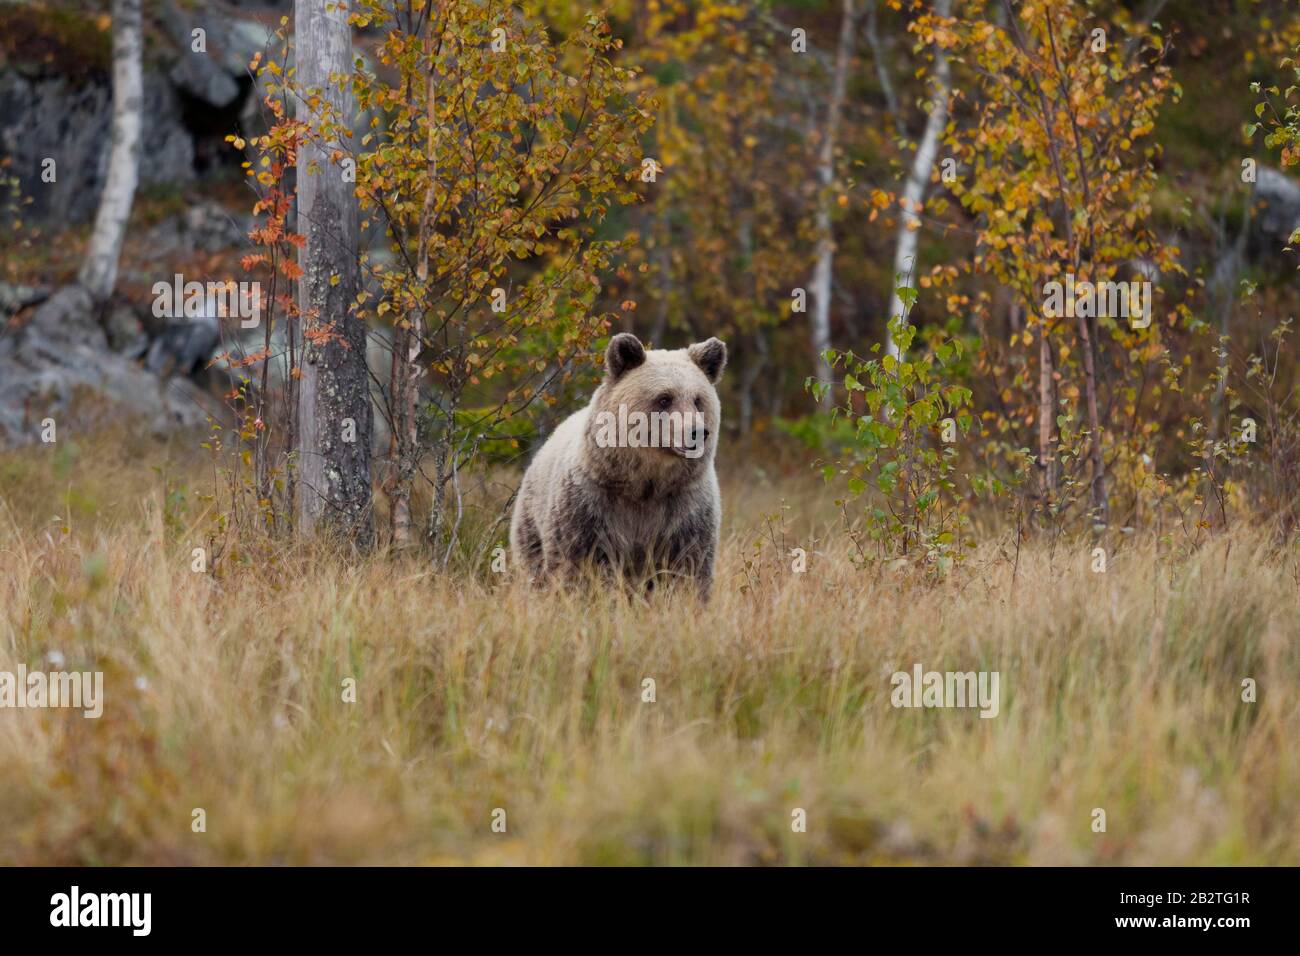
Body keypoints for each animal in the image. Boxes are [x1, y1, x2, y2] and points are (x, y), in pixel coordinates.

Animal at [509, 330, 733, 598]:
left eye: (698, 400)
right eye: (664, 398)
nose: (697, 432)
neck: (645, 483)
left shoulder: (685, 510)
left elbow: (689, 568)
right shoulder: (590, 507)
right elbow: (579, 564)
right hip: (532, 519)